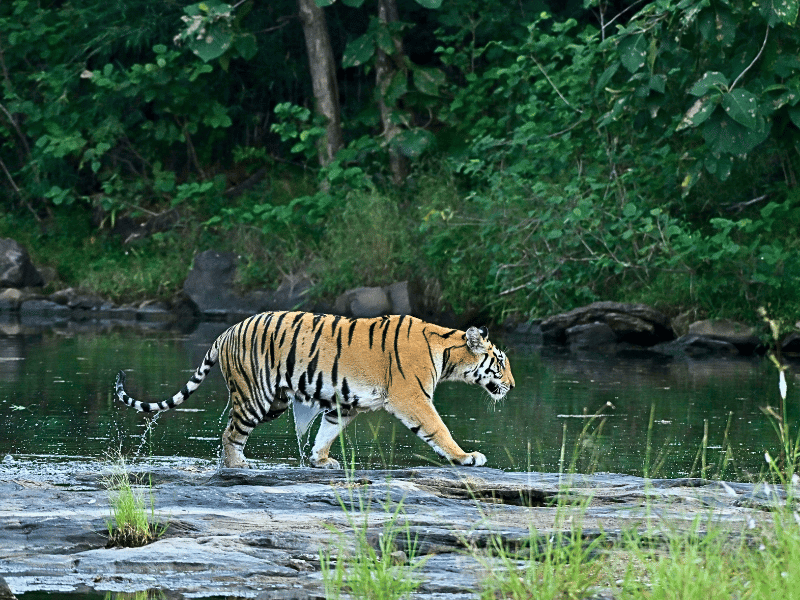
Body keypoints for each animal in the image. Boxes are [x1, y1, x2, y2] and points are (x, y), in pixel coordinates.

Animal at [114, 311, 515, 469]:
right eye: (500, 362)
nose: (512, 385)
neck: (448, 353)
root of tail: (226, 331)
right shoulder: (412, 397)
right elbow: (439, 429)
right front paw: (466, 457)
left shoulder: (345, 402)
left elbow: (327, 431)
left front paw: (320, 460)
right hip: (255, 397)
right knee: (230, 433)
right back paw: (238, 465)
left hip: (274, 401)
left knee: (230, 431)